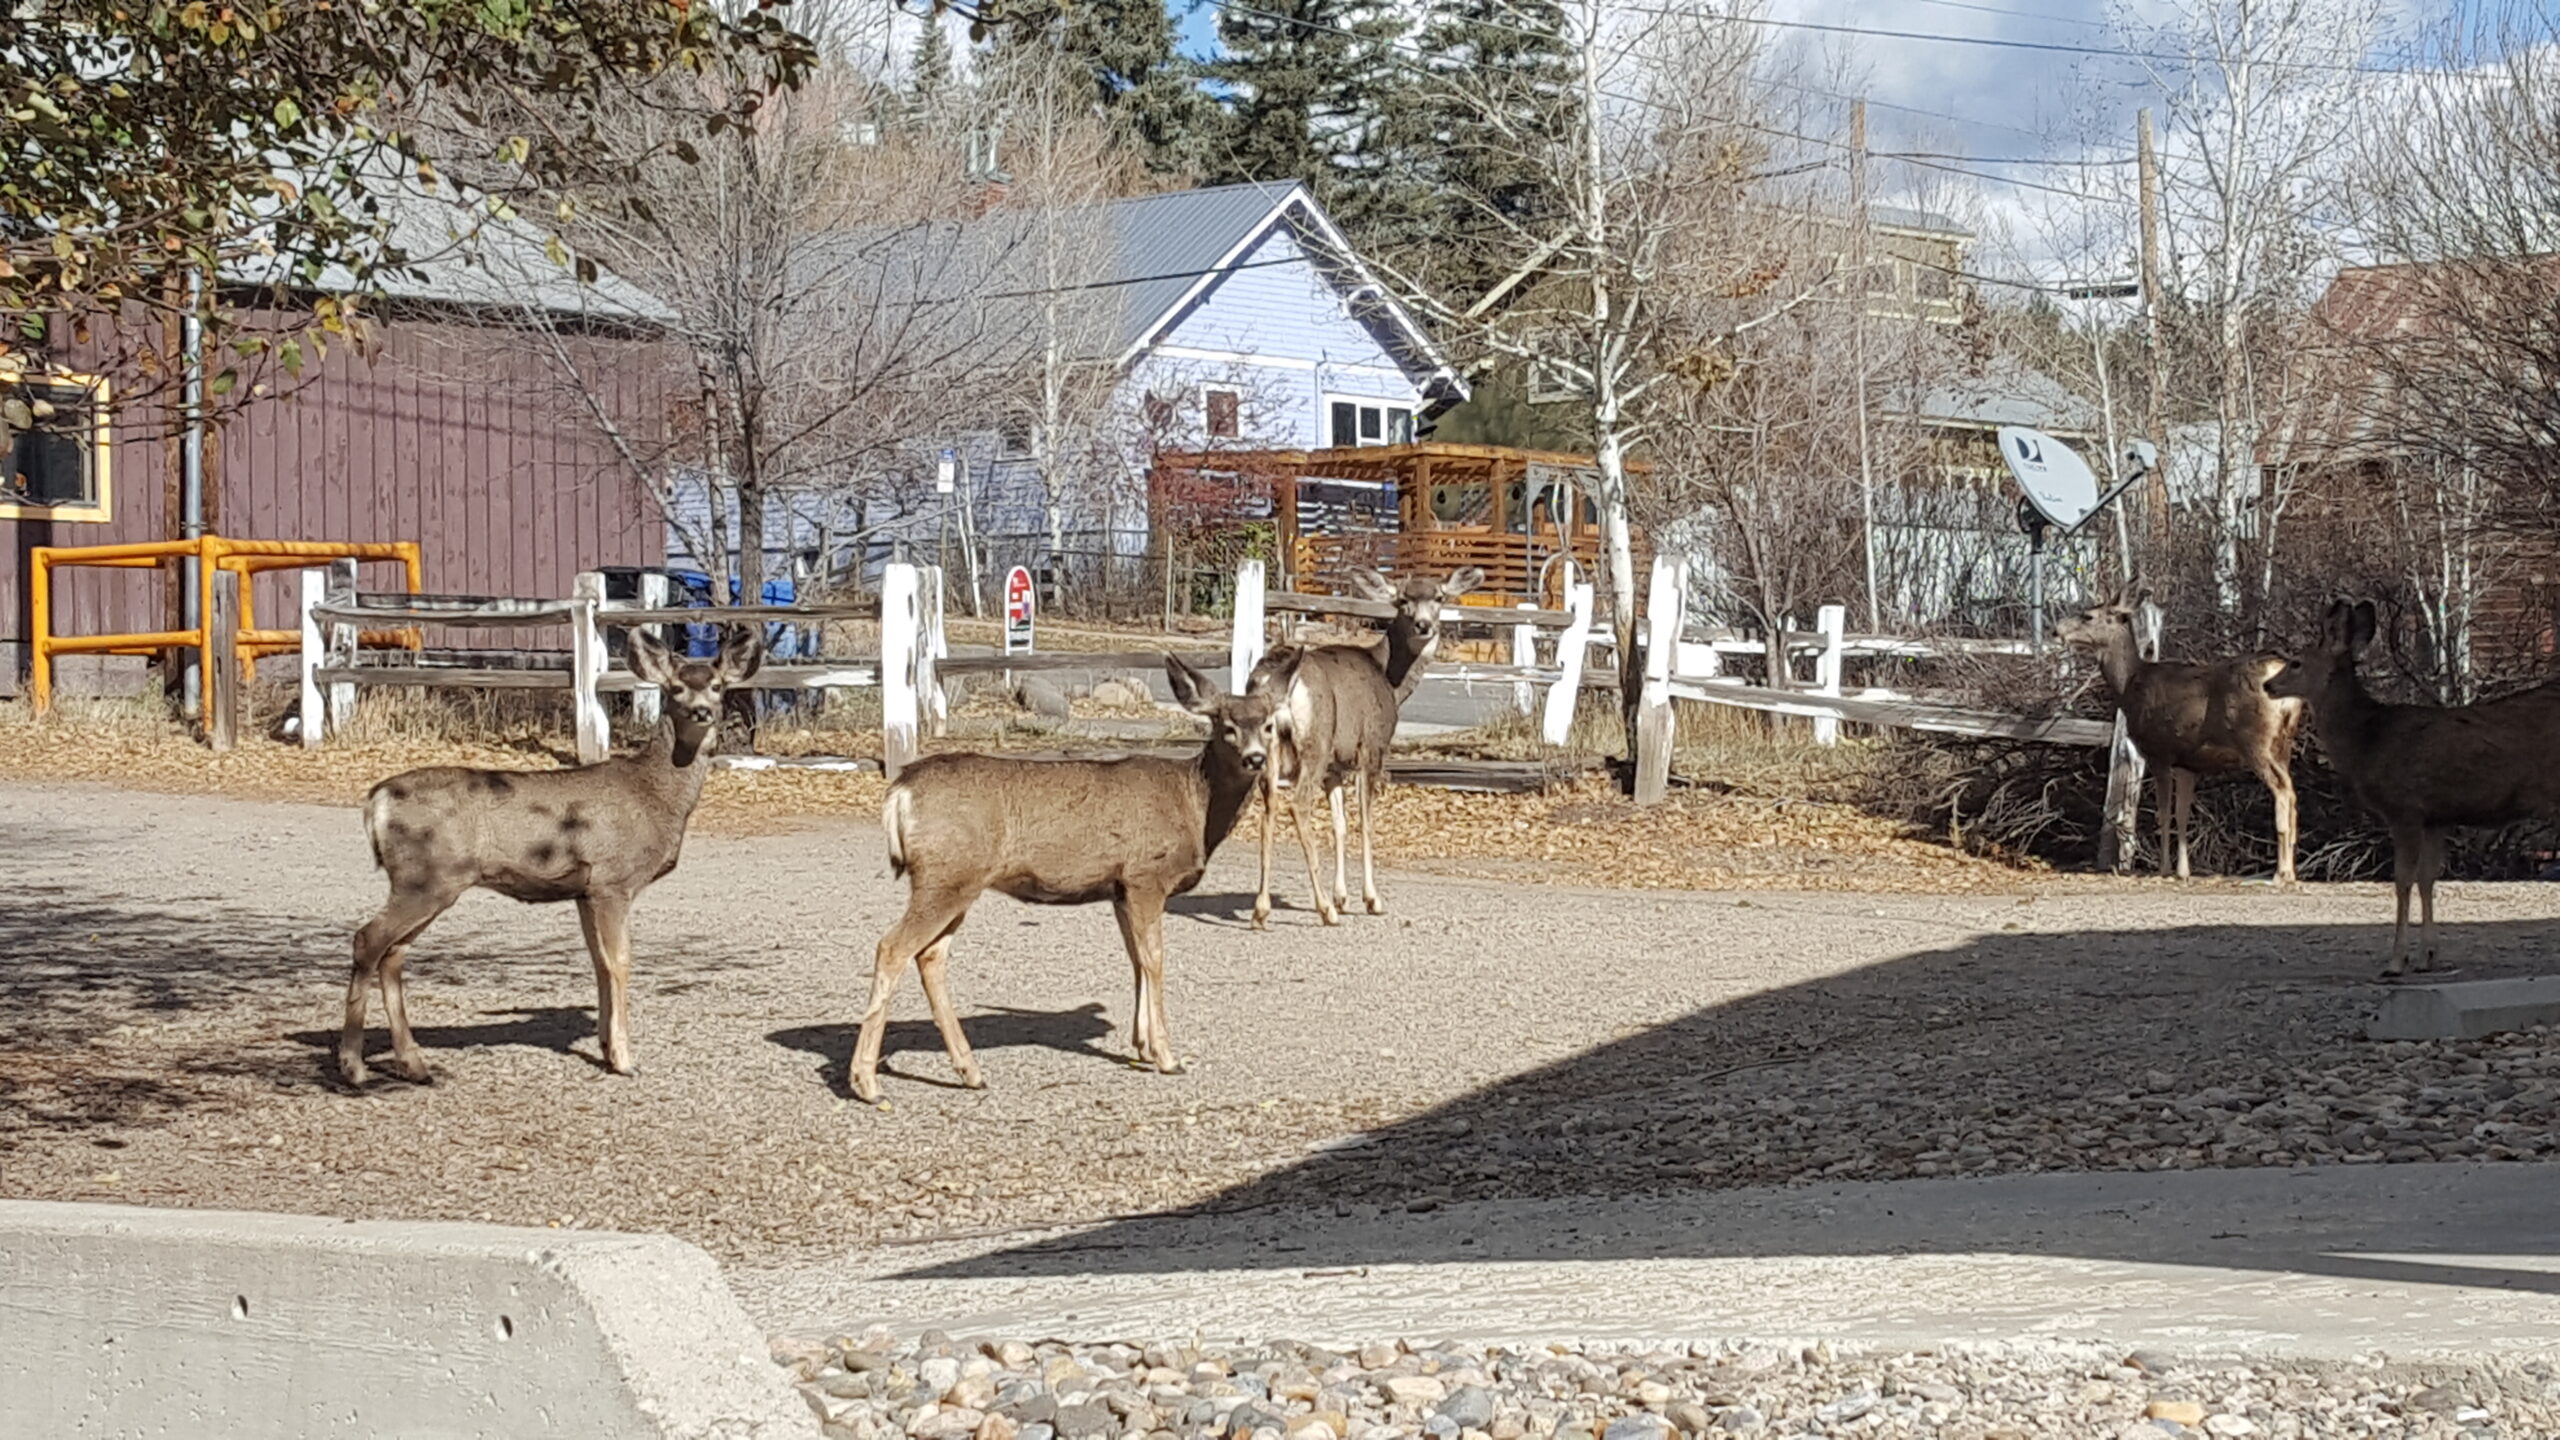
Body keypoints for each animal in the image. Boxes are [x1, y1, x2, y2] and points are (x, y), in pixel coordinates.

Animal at [337, 622, 757, 1081]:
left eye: (717, 685)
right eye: (677, 687)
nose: (701, 711)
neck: (653, 796)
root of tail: (376, 800)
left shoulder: (584, 891)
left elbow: (598, 962)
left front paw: (606, 1048)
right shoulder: (613, 880)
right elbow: (620, 961)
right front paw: (625, 1059)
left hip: (430, 882)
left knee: (392, 954)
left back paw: (413, 1063)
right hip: (424, 875)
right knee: (368, 940)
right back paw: (353, 1065)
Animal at [855, 650, 1300, 1096]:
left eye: (1268, 725)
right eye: (1227, 727)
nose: (1256, 758)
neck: (1195, 806)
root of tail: (900, 792)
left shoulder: (1120, 889)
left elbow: (1135, 959)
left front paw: (1141, 1046)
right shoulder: (1146, 876)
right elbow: (1155, 959)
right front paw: (1167, 1056)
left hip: (958, 881)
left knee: (929, 955)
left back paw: (970, 1071)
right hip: (946, 875)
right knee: (892, 948)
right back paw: (866, 1082)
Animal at [1254, 561, 1495, 917]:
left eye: (1439, 597)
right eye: (1403, 600)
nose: (1424, 625)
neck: (1389, 679)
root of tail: (1279, 679)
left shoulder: (1336, 764)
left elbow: (1340, 824)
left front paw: (1342, 895)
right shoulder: (1371, 747)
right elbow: (1366, 821)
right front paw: (1371, 898)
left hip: (1271, 750)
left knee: (1268, 807)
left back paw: (1262, 908)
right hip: (1315, 743)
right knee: (1298, 805)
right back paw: (1324, 909)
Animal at [2048, 589, 2314, 881]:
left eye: (2088, 615)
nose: (2055, 630)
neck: (2129, 684)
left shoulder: (2159, 751)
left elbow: (2164, 812)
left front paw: (2163, 869)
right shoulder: (2187, 763)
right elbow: (2182, 813)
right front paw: (2183, 871)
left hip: (2255, 740)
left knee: (2282, 791)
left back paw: (2281, 872)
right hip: (2283, 743)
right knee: (2292, 791)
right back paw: (2291, 869)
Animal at [2263, 594, 2560, 973]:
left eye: (2296, 663)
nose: (2267, 685)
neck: (2368, 740)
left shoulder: (2404, 808)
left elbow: (2403, 880)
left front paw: (2396, 959)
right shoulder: (2435, 817)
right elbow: (2427, 878)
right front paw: (2427, 956)